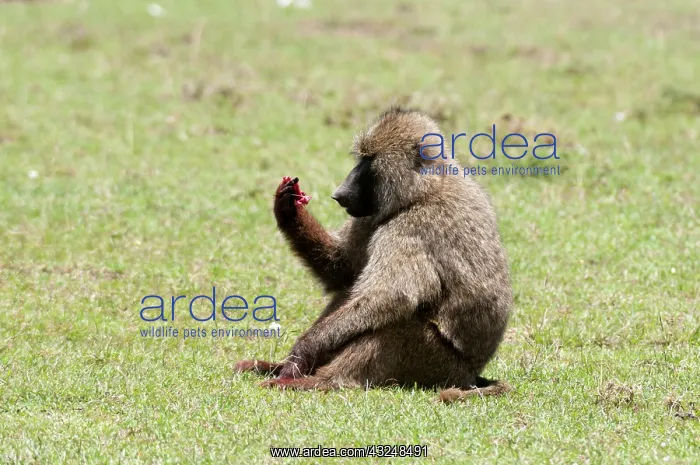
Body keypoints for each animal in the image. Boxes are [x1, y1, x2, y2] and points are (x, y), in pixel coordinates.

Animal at [236, 107, 513, 402]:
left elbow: (393, 296)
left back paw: (314, 381)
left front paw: (304, 350)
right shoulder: (370, 216)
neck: (425, 188)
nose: (339, 194)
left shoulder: (411, 227)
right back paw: (274, 368)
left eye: (368, 161)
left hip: (436, 363)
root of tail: (469, 377)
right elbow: (342, 270)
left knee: (396, 321)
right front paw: (287, 207)